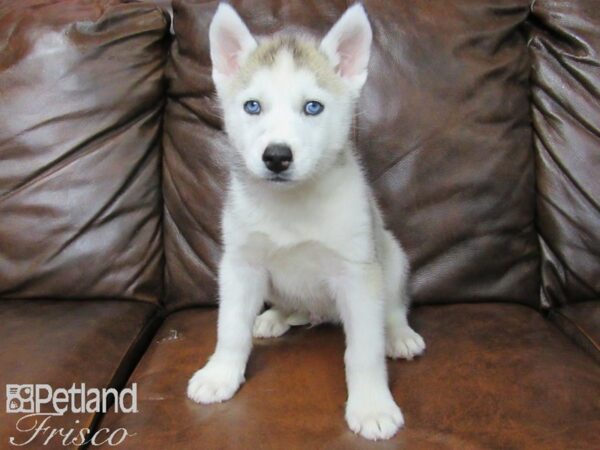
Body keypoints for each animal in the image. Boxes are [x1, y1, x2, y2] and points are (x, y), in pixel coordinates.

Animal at [189, 2, 426, 440]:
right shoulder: (241, 265)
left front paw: (371, 405)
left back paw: (399, 336)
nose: (277, 157)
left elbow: (364, 351)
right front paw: (220, 374)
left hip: (392, 257)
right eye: (252, 106)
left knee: (393, 307)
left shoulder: (357, 274)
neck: (291, 204)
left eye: (312, 107)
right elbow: (229, 328)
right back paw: (274, 317)